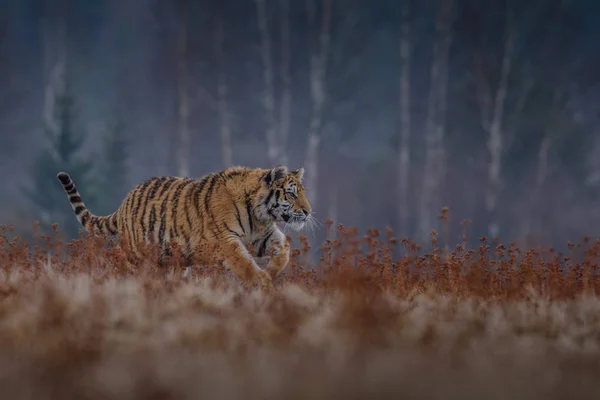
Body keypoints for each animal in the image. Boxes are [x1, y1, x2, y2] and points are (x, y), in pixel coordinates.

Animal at [56, 164, 314, 290]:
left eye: (302, 192)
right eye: (292, 194)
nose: (308, 211)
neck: (258, 214)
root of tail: (123, 204)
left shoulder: (263, 234)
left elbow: (284, 249)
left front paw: (272, 271)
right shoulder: (226, 240)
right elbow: (244, 263)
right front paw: (262, 281)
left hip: (174, 261)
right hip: (143, 257)